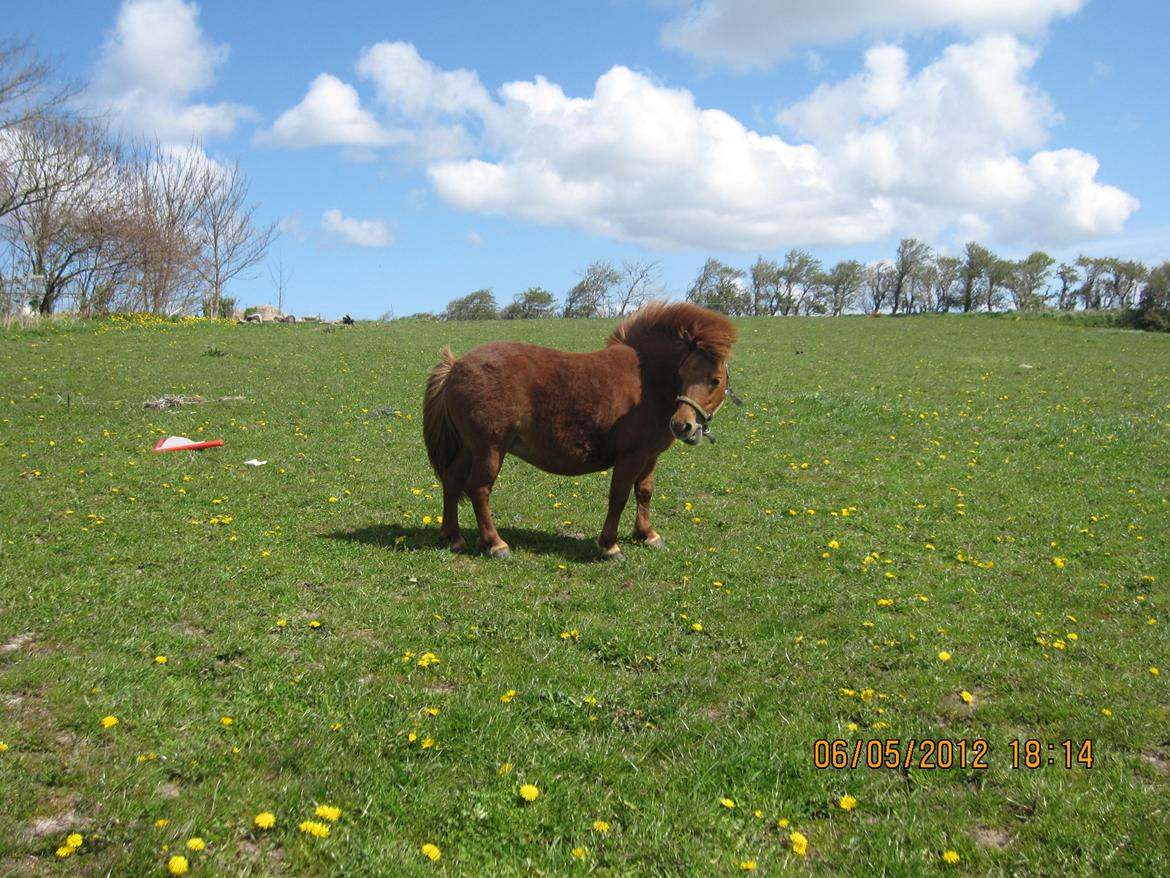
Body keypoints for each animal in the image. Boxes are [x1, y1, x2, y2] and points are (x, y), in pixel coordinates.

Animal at [423, 306, 739, 559]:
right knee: (479, 489)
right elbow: (619, 496)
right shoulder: (631, 457)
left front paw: (647, 535)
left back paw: (453, 537)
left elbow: (644, 492)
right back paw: (495, 544)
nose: (682, 425)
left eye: (715, 380)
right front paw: (610, 546)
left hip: (470, 448)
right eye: (683, 374)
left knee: (452, 479)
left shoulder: (649, 457)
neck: (648, 381)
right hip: (490, 449)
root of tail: (456, 366)